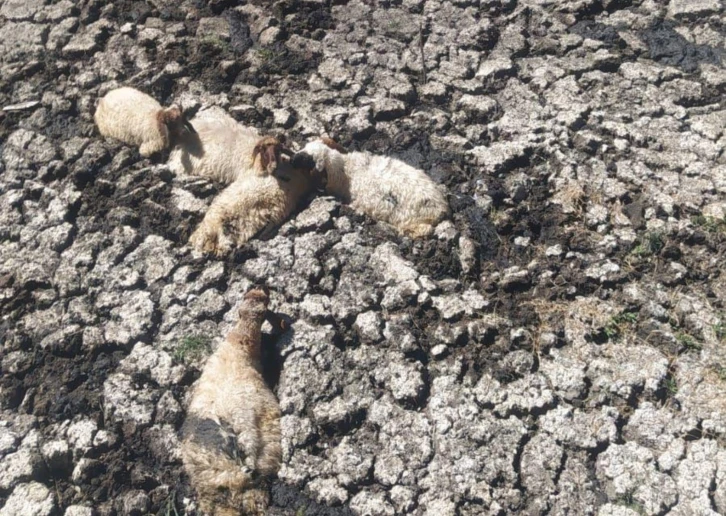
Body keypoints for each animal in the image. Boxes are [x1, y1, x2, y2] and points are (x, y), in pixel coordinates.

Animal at [292, 137, 452, 238]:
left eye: (307, 161)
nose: (293, 159)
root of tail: (440, 209)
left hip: (411, 221)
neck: (345, 170)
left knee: (423, 230)